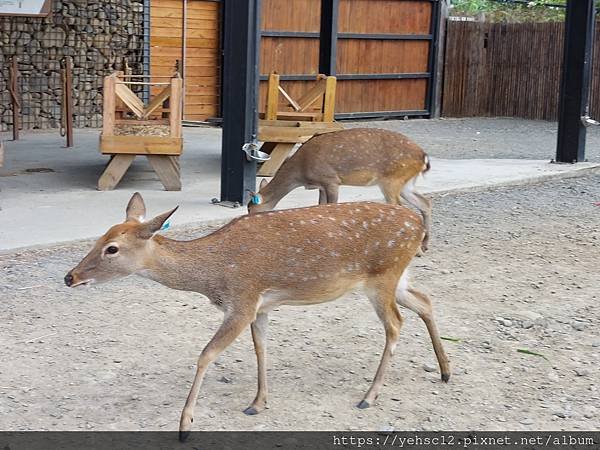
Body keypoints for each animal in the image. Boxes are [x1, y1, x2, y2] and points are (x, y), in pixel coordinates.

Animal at [65, 192, 450, 440]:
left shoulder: (243, 299)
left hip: (383, 275)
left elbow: (206, 354)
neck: (213, 274)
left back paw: (369, 396)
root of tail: (417, 224)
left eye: (112, 248)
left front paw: (185, 425)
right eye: (99, 238)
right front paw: (257, 403)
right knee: (426, 300)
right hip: (398, 276)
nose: (69, 276)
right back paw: (445, 370)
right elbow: (260, 348)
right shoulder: (260, 306)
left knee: (396, 324)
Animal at [246, 128, 434, 251]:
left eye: (250, 208)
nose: (249, 220)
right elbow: (320, 207)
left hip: (392, 179)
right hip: (406, 183)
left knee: (399, 206)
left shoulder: (331, 180)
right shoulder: (321, 186)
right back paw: (424, 246)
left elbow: (331, 206)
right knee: (425, 203)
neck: (301, 171)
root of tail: (424, 156)